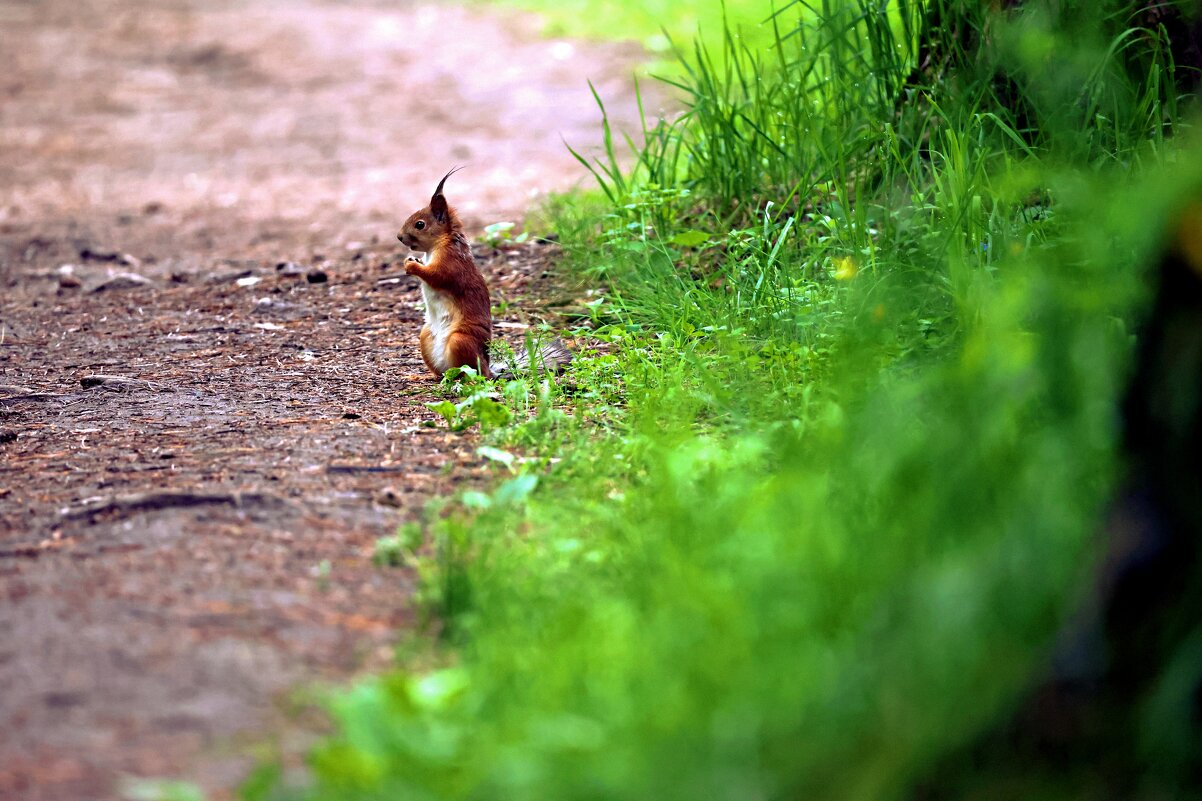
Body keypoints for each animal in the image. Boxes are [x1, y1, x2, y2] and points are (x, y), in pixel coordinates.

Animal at [397, 169, 572, 380]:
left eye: (420, 224)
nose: (399, 237)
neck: (437, 245)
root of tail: (489, 368)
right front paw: (411, 260)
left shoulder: (451, 263)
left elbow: (437, 275)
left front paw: (411, 266)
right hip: (425, 336)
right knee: (445, 373)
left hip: (460, 340)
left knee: (473, 373)